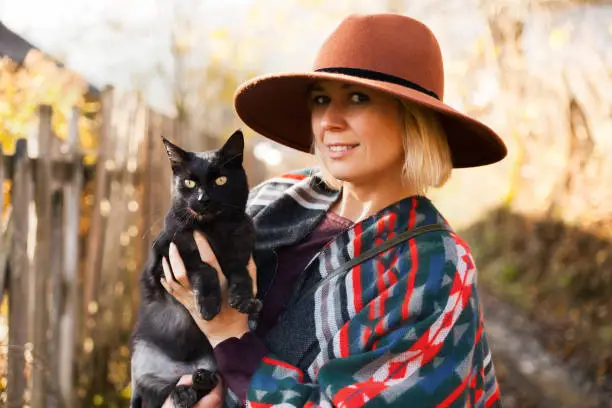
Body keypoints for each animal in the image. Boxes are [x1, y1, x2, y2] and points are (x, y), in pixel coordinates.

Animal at [131, 131, 260, 408]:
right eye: (189, 183)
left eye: (221, 180)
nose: (203, 199)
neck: (214, 231)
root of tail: (183, 369)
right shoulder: (163, 263)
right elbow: (204, 267)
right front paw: (209, 307)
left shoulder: (241, 249)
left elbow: (239, 272)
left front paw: (244, 300)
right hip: (144, 368)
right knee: (161, 392)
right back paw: (184, 392)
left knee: (205, 383)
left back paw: (199, 381)